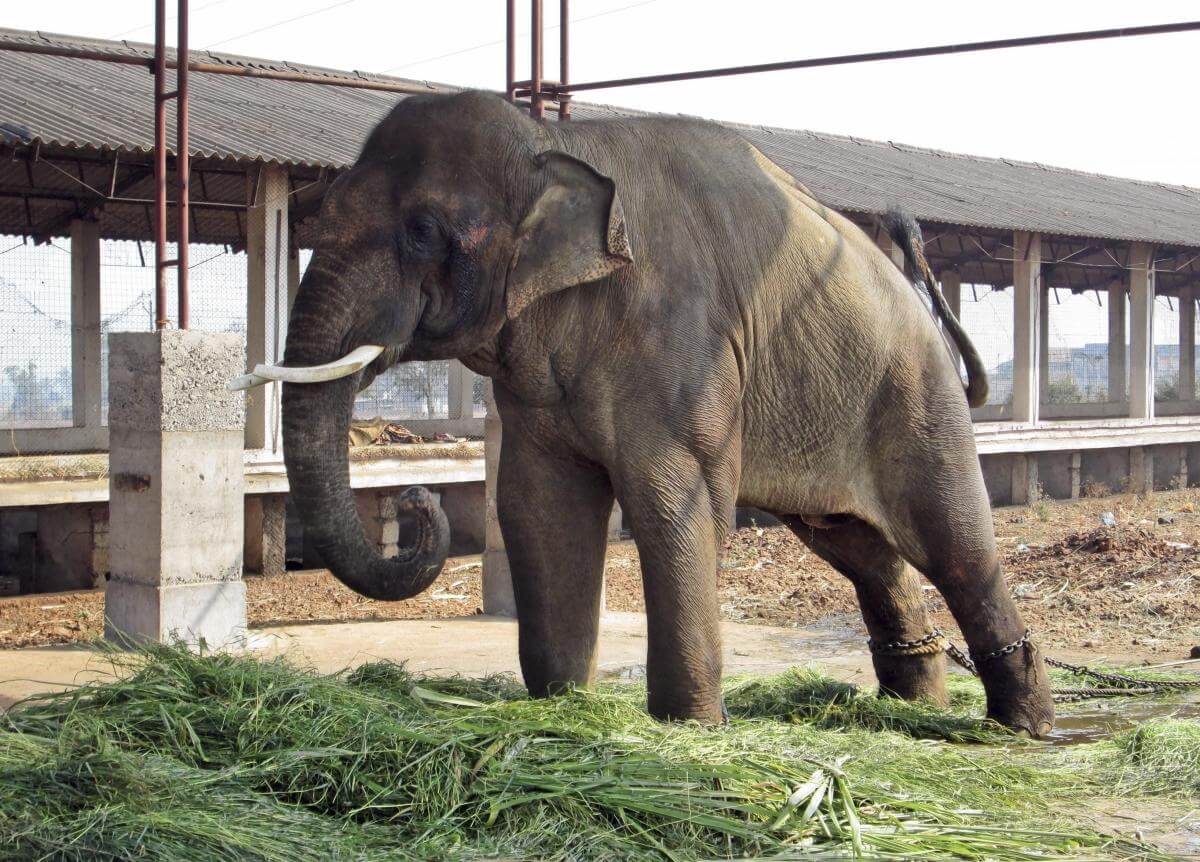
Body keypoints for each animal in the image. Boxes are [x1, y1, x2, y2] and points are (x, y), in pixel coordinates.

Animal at [274, 90, 1054, 736]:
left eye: (425, 231)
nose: (415, 502)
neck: (554, 140)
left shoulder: (682, 342)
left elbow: (672, 499)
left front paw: (690, 728)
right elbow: (537, 504)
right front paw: (562, 703)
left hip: (916, 399)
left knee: (954, 545)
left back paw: (1025, 726)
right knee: (861, 550)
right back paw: (914, 706)